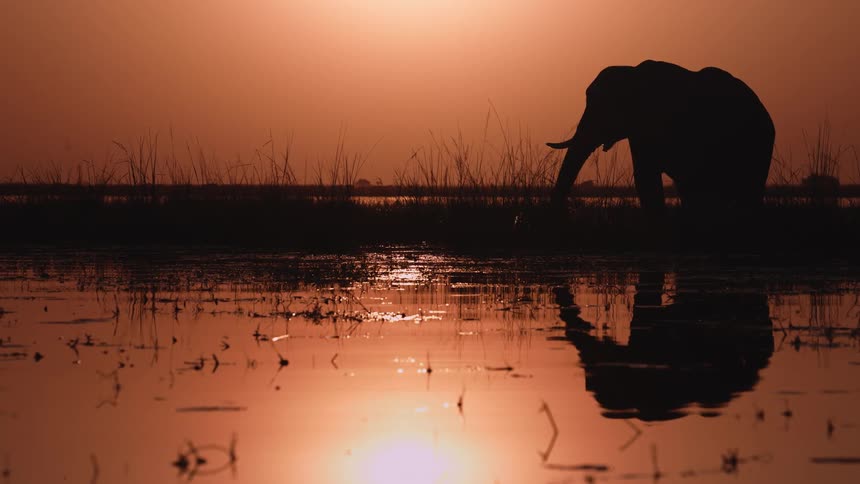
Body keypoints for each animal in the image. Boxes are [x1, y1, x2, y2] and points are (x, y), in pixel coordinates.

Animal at [548, 60, 775, 212]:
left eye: (603, 108)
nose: (560, 214)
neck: (632, 73)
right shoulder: (640, 130)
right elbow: (645, 177)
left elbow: (648, 176)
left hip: (759, 142)